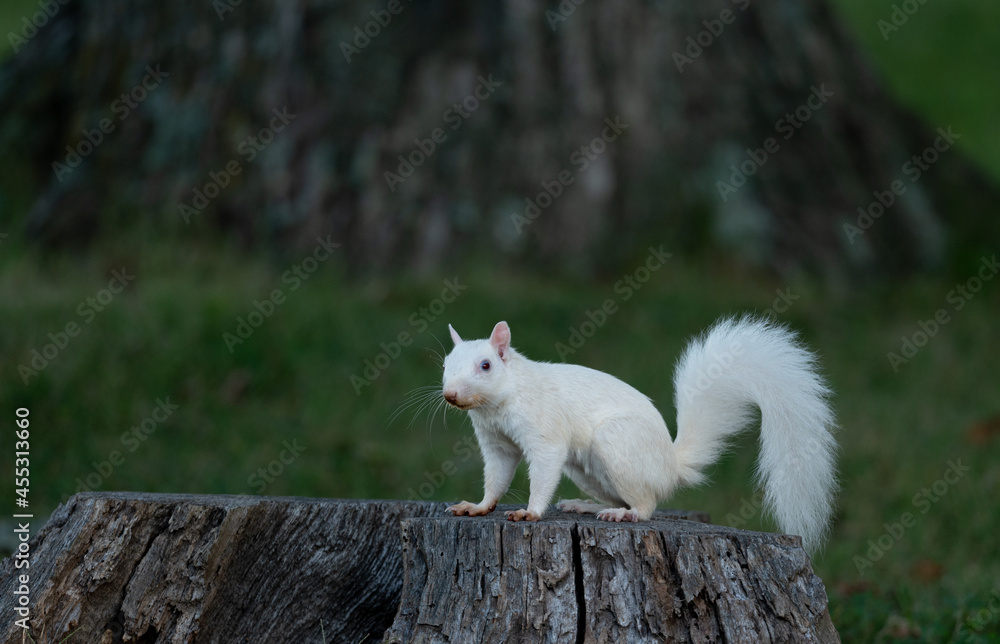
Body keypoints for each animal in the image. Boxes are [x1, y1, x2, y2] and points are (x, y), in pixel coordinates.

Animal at [442, 316, 838, 552]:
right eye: (445, 365)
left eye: (486, 366)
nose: (450, 395)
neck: (496, 405)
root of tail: (671, 466)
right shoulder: (496, 444)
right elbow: (496, 478)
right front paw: (477, 507)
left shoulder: (545, 432)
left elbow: (542, 471)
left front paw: (530, 513)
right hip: (588, 471)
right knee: (625, 497)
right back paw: (590, 506)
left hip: (615, 444)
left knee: (646, 506)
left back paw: (624, 516)